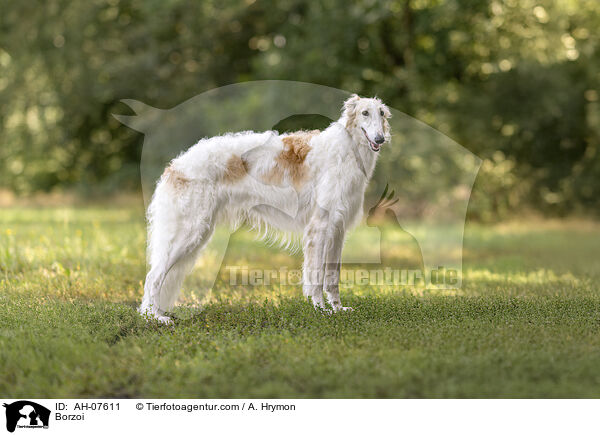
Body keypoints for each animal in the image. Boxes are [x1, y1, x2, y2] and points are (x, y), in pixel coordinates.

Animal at [141, 95, 394, 324]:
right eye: (364, 113)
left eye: (381, 113)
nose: (380, 139)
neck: (347, 149)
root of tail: (175, 166)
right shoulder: (319, 228)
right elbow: (315, 277)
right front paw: (321, 310)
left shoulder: (337, 229)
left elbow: (332, 278)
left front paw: (338, 309)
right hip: (189, 231)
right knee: (153, 276)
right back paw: (154, 317)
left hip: (198, 233)